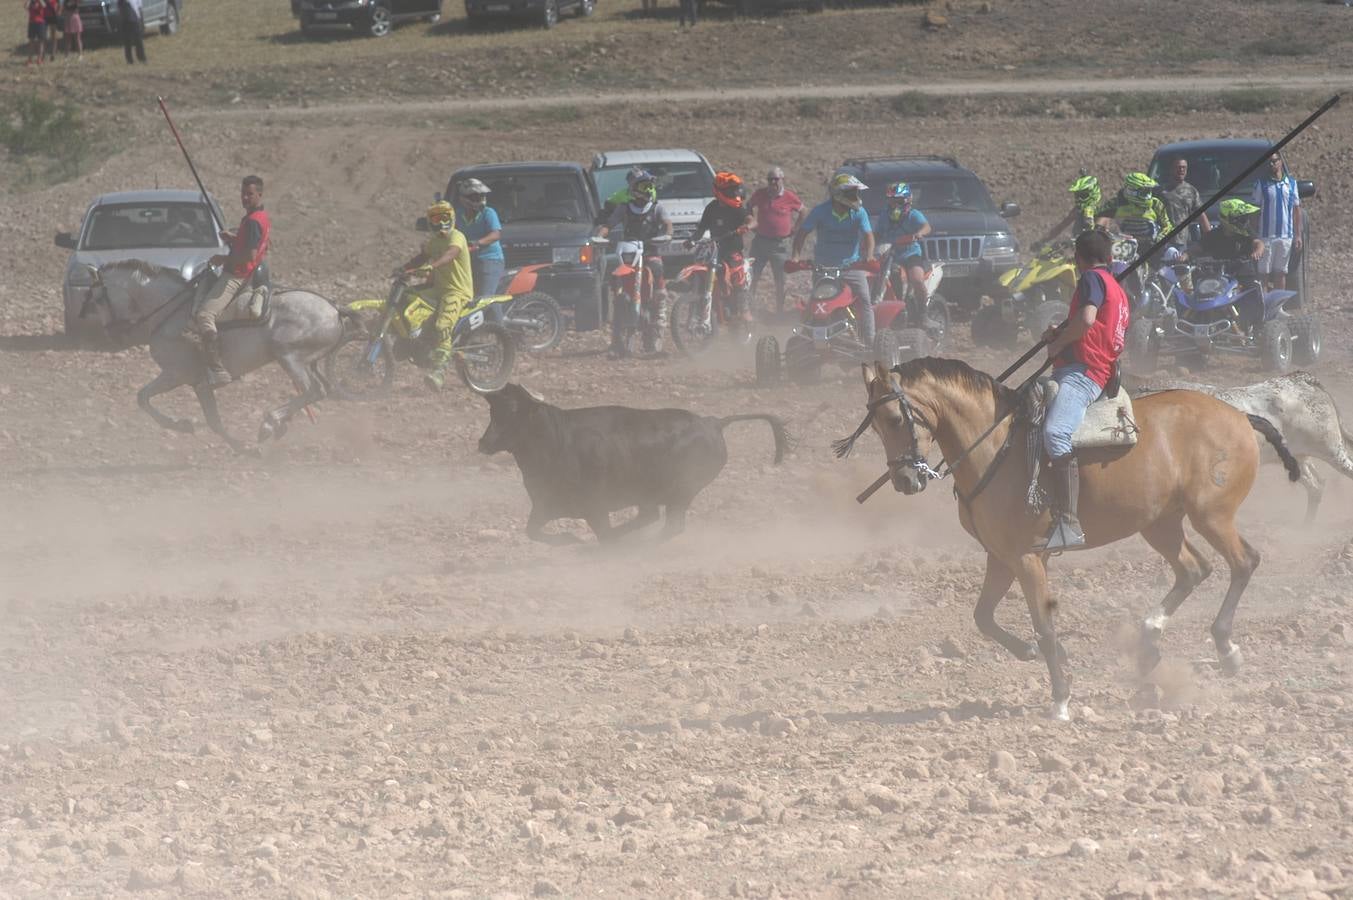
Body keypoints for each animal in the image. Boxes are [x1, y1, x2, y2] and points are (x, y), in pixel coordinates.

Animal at [81, 261, 351, 452]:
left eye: (98, 299)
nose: (112, 335)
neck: (171, 313)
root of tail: (335, 310)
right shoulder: (195, 383)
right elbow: (149, 399)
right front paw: (186, 427)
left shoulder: (178, 375)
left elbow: (149, 399)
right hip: (309, 362)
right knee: (321, 390)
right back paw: (278, 425)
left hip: (289, 357)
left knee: (313, 390)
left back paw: (269, 424)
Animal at [478, 384, 790, 544]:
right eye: (493, 411)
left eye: (514, 412)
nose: (483, 443)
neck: (556, 440)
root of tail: (713, 423)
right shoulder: (544, 506)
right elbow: (532, 530)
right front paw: (571, 540)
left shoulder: (595, 507)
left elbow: (602, 532)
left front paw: (581, 542)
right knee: (653, 517)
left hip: (681, 492)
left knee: (668, 524)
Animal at [844, 357, 1298, 714]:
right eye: (874, 426)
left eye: (895, 418)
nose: (905, 480)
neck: (996, 446)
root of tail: (1239, 416)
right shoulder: (1000, 556)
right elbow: (984, 617)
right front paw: (1037, 655)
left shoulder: (1028, 557)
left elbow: (1043, 626)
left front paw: (1060, 696)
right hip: (1160, 523)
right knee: (1193, 569)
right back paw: (1149, 641)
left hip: (1211, 515)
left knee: (1243, 562)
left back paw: (1226, 649)